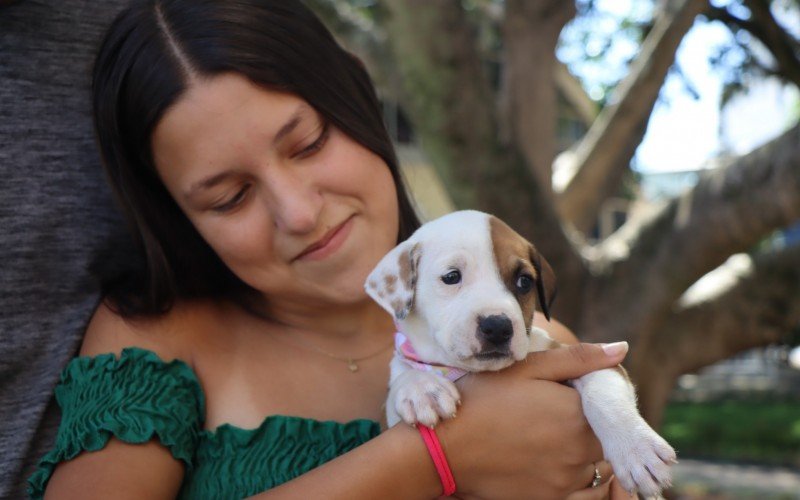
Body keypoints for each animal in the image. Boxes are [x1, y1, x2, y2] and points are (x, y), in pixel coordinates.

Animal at [368, 210, 676, 496]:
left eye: (524, 282)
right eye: (451, 277)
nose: (497, 326)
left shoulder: (592, 359)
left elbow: (601, 389)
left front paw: (637, 449)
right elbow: (400, 375)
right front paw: (422, 388)